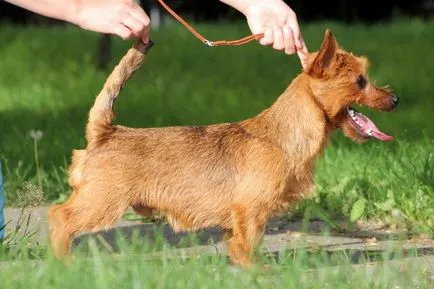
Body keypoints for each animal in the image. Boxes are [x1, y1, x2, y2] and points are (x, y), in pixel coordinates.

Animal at [47, 29, 396, 266]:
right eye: (360, 81)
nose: (395, 99)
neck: (283, 134)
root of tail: (105, 132)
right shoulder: (251, 211)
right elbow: (249, 243)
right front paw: (258, 272)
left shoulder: (241, 218)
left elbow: (238, 244)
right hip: (102, 202)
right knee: (61, 217)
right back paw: (63, 263)